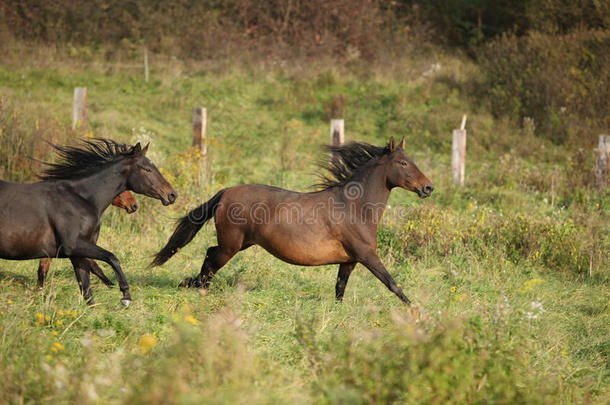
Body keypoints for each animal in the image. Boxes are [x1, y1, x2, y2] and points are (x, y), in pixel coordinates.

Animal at [0, 138, 176, 304]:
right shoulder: (73, 246)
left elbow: (87, 292)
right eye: (147, 169)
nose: (172, 195)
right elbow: (111, 258)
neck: (81, 198)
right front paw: (125, 294)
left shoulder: (78, 255)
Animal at [153, 136, 432, 304]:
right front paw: (414, 310)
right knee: (211, 258)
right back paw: (195, 285)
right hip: (231, 246)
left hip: (240, 244)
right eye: (403, 163)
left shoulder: (349, 261)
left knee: (210, 256)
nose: (428, 188)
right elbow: (392, 283)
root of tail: (226, 192)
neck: (354, 207)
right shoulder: (366, 255)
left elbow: (340, 289)